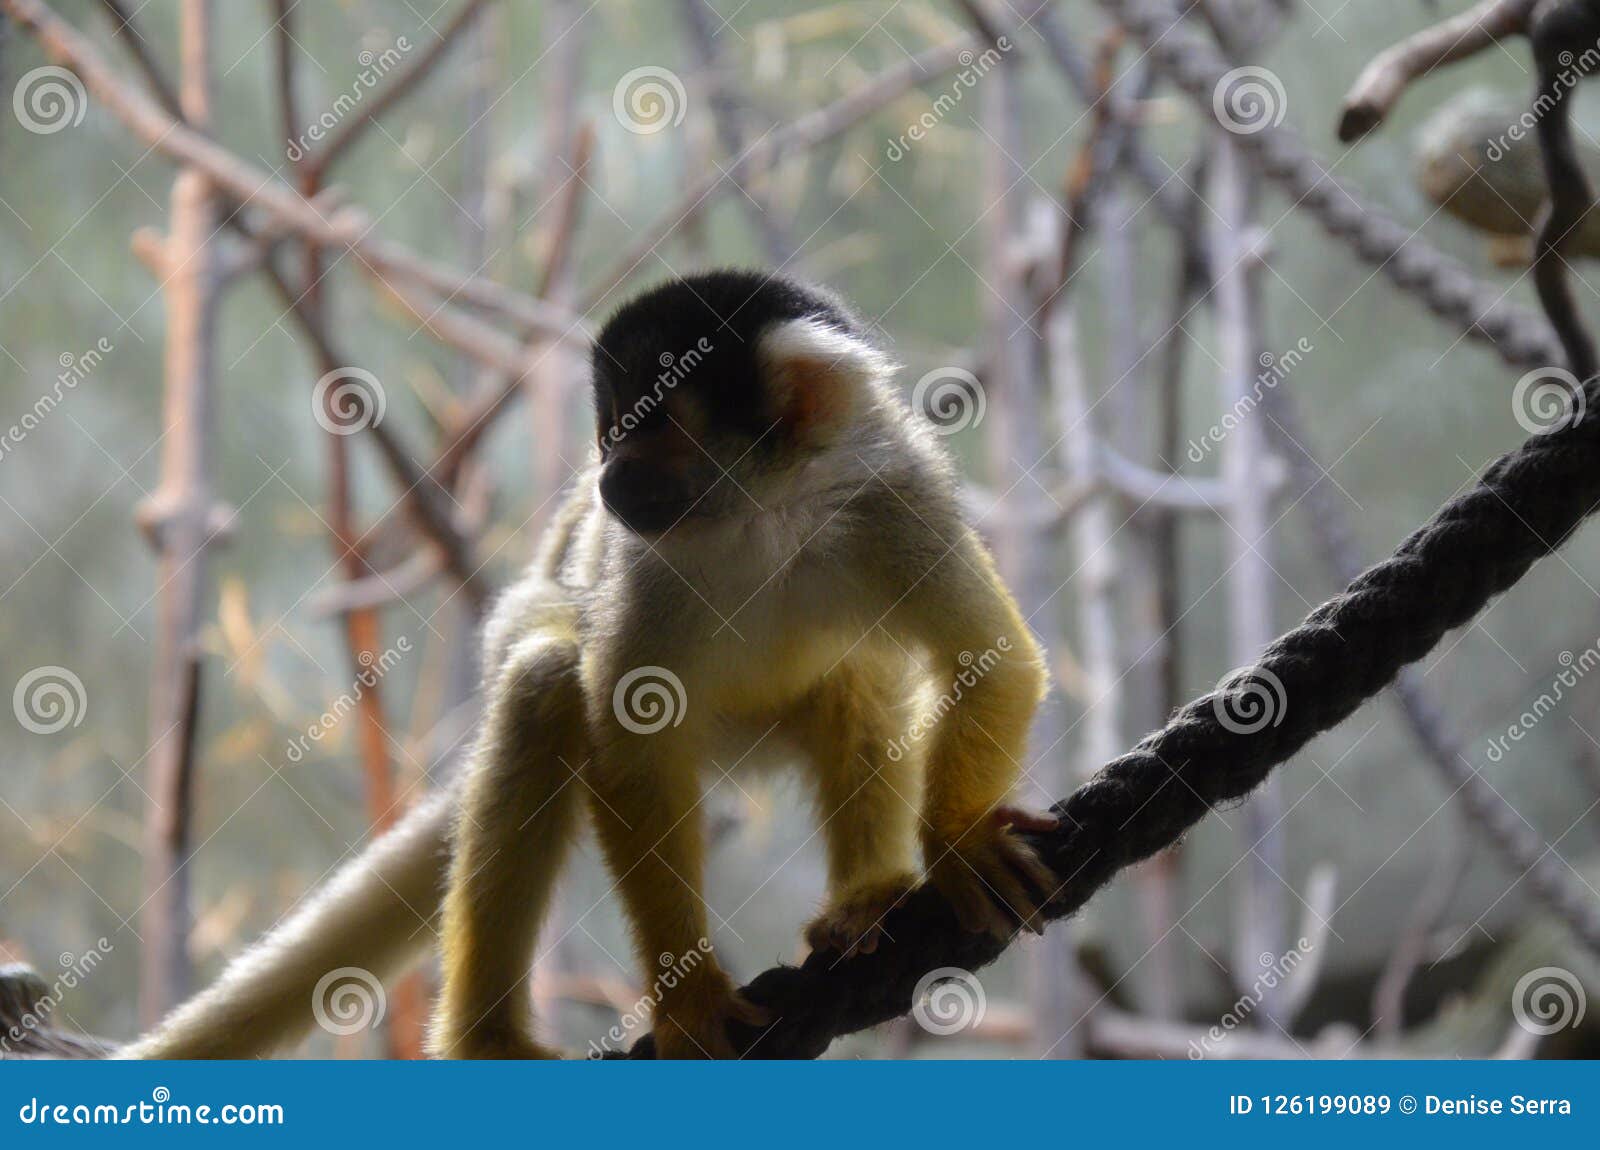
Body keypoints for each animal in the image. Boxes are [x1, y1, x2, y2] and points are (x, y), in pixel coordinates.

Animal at [432, 271, 1056, 1062]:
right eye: (612, 430)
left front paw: (963, 843)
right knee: (544, 682)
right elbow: (633, 756)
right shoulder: (646, 566)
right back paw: (485, 1038)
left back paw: (865, 898)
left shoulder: (894, 499)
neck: (764, 513)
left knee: (859, 676)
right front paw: (689, 999)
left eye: (651, 425)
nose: (608, 477)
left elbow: (990, 659)